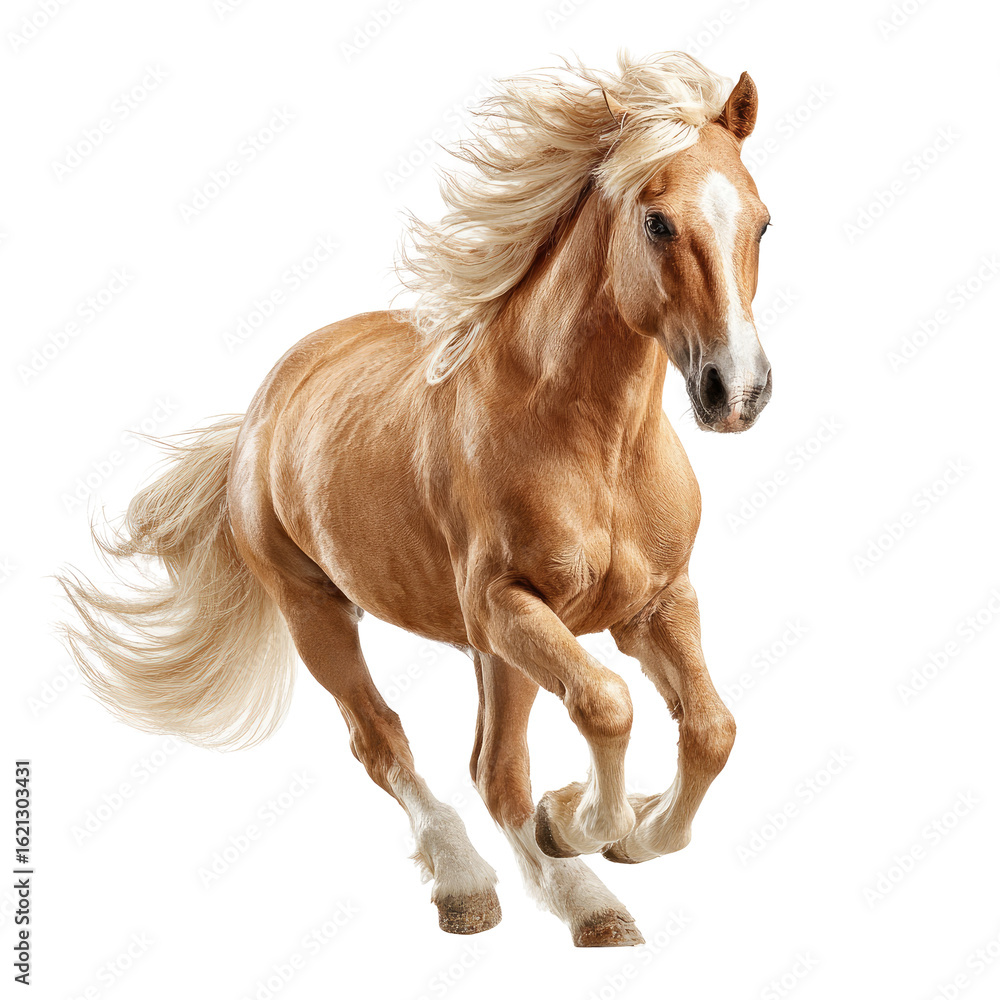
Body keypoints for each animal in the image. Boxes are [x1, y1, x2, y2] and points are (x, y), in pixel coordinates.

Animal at [59, 51, 772, 948]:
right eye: (657, 223)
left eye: (762, 223)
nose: (737, 392)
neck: (595, 445)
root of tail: (263, 407)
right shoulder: (507, 603)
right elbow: (606, 705)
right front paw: (577, 819)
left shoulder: (656, 604)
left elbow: (713, 730)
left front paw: (633, 833)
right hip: (322, 612)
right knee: (395, 744)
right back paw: (482, 886)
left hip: (490, 650)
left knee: (490, 766)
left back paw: (583, 899)